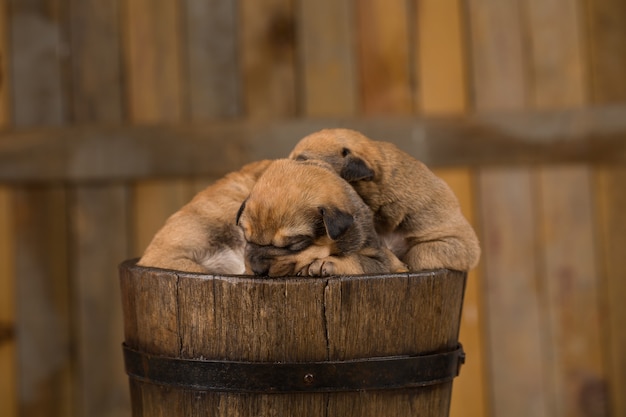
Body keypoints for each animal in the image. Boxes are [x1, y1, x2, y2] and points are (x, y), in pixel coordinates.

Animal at [234, 158, 404, 276]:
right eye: (247, 238)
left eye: (295, 242)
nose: (257, 270)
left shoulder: (383, 259)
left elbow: (360, 260)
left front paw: (327, 263)